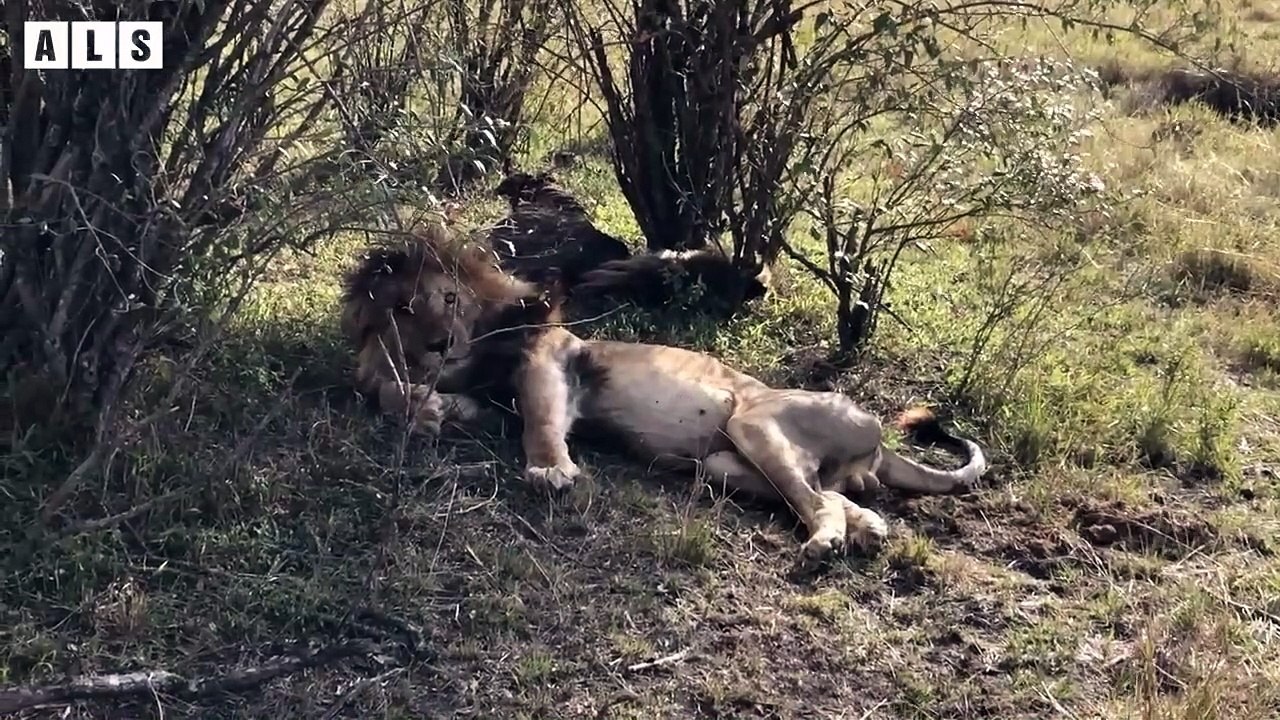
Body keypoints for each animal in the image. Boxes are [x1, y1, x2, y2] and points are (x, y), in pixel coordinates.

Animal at [341, 225, 988, 560]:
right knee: (830, 493)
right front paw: (426, 409)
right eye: (403, 309)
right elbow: (393, 389)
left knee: (819, 501)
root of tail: (878, 439)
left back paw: (828, 540)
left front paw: (550, 470)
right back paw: (866, 528)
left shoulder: (552, 357)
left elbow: (541, 419)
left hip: (755, 423)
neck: (475, 347)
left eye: (450, 298)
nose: (440, 342)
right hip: (727, 464)